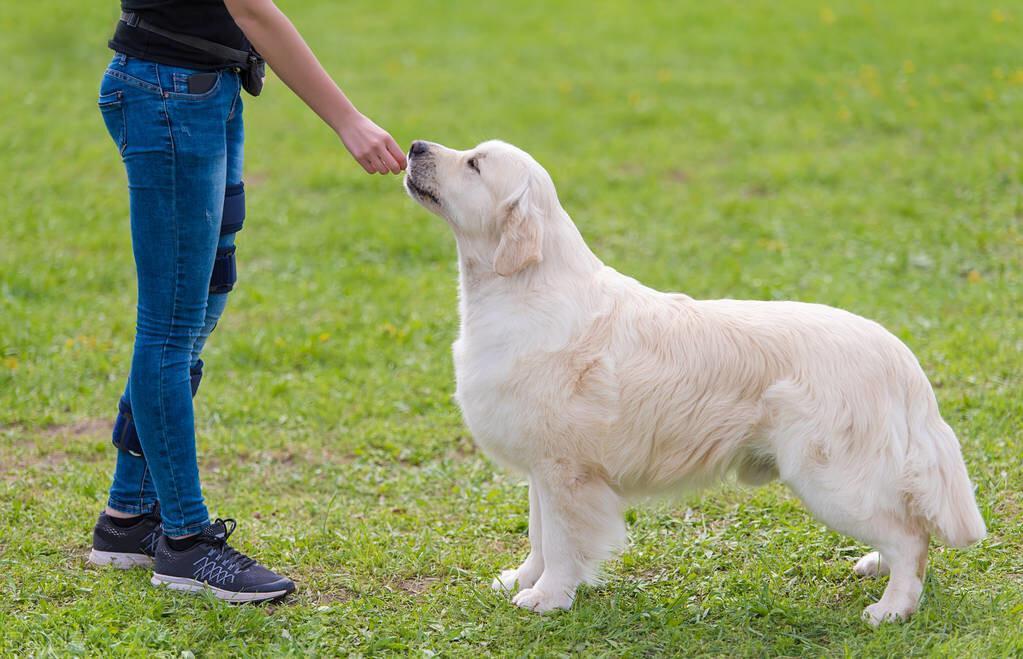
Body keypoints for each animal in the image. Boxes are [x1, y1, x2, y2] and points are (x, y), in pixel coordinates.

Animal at [398, 138, 982, 622]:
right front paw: (521, 580)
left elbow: (563, 544)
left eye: (474, 164)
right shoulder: (544, 468)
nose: (414, 145)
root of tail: (901, 358)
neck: (521, 288)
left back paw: (892, 608)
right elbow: (540, 536)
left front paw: (548, 598)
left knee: (912, 537)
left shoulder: (568, 471)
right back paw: (876, 566)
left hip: (830, 479)